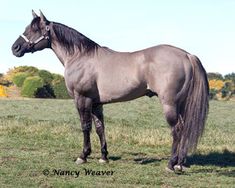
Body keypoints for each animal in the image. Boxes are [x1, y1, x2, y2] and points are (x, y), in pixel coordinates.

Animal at [11, 10, 208, 172]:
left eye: (34, 29)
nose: (15, 48)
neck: (80, 56)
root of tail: (186, 55)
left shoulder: (82, 99)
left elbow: (85, 127)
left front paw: (83, 156)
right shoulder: (96, 103)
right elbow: (100, 128)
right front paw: (103, 157)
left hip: (169, 103)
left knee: (177, 129)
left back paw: (171, 164)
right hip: (181, 104)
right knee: (184, 128)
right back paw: (180, 163)